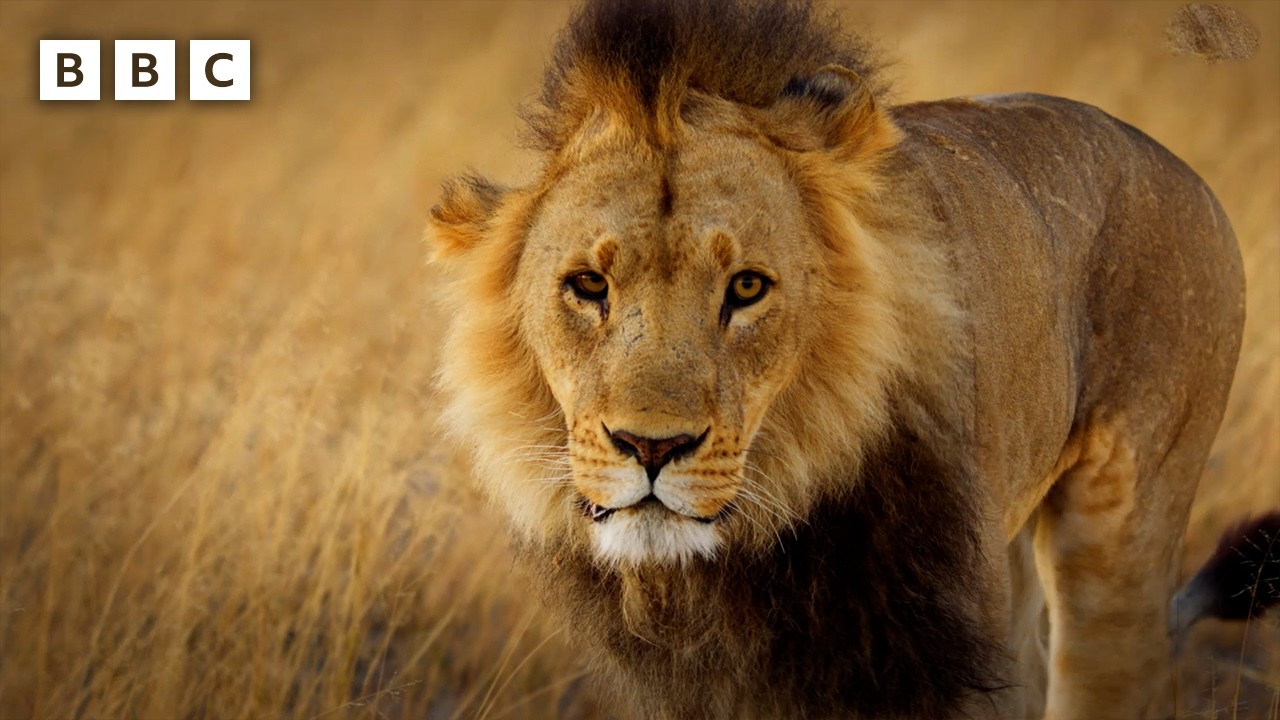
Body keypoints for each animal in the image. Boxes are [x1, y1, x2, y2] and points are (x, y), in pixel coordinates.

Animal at [426, 0, 1246, 717]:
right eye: (589, 285)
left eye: (746, 287)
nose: (651, 447)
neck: (733, 579)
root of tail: (1187, 173)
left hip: (1125, 540)